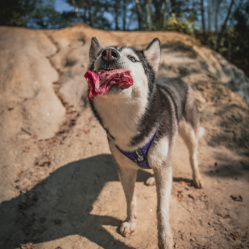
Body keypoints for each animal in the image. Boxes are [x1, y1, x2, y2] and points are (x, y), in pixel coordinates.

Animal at [87, 37, 202, 249]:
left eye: (132, 58)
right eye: (99, 55)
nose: (107, 54)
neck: (125, 117)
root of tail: (177, 78)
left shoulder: (163, 163)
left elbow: (161, 208)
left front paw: (165, 238)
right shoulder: (125, 169)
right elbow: (130, 199)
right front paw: (130, 222)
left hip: (189, 131)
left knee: (192, 155)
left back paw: (196, 177)